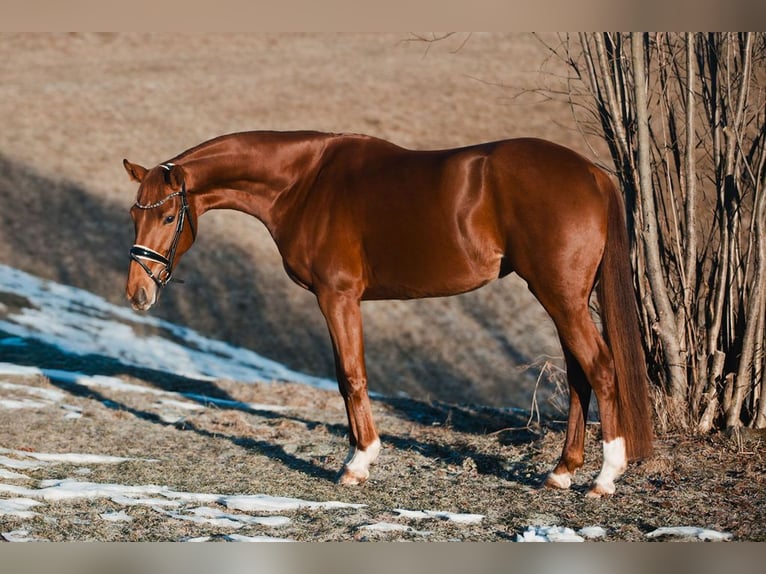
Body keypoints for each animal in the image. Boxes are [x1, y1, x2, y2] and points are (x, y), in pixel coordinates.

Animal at [124, 132, 656, 500]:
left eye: (168, 217)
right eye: (134, 214)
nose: (137, 293)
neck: (304, 182)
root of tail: (591, 173)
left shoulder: (337, 296)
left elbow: (350, 376)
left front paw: (358, 463)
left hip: (561, 297)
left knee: (601, 369)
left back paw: (604, 478)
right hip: (565, 298)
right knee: (578, 377)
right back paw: (562, 472)